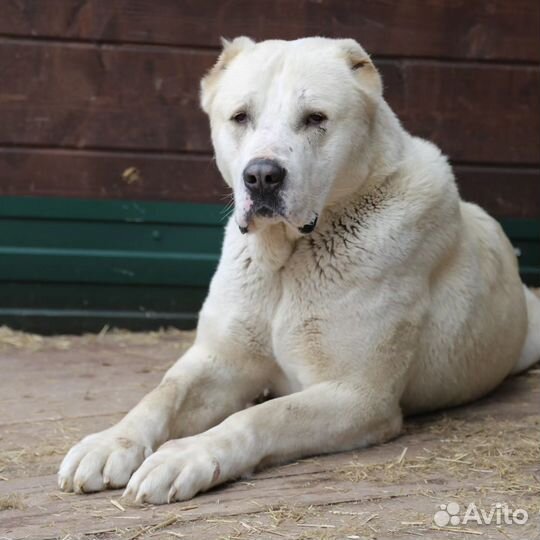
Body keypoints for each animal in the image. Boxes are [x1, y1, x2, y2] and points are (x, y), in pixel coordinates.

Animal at [58, 37, 540, 502]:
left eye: (314, 118)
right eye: (240, 116)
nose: (261, 176)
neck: (286, 258)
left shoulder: (359, 396)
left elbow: (263, 416)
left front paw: (186, 456)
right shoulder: (219, 359)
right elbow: (163, 393)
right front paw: (111, 442)